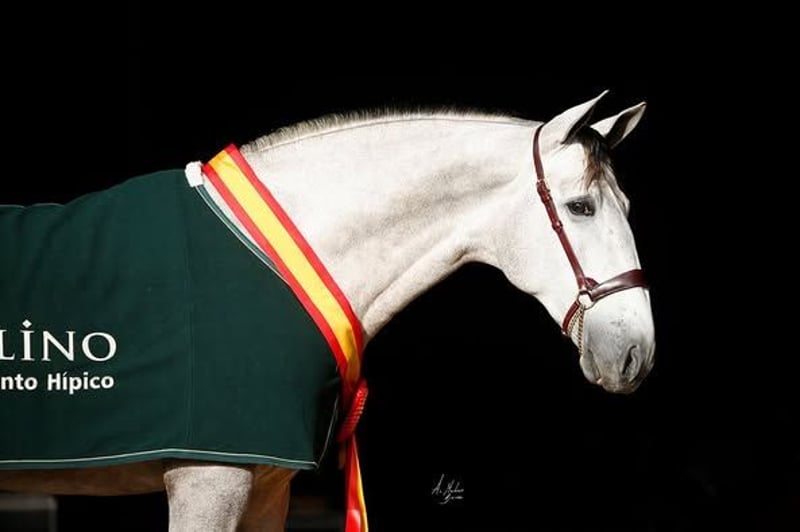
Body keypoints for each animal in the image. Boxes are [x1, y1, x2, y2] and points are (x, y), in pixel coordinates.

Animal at [0, 91, 655, 531]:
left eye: (625, 205)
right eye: (580, 207)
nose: (635, 353)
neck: (270, 259)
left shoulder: (265, 487)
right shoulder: (207, 480)